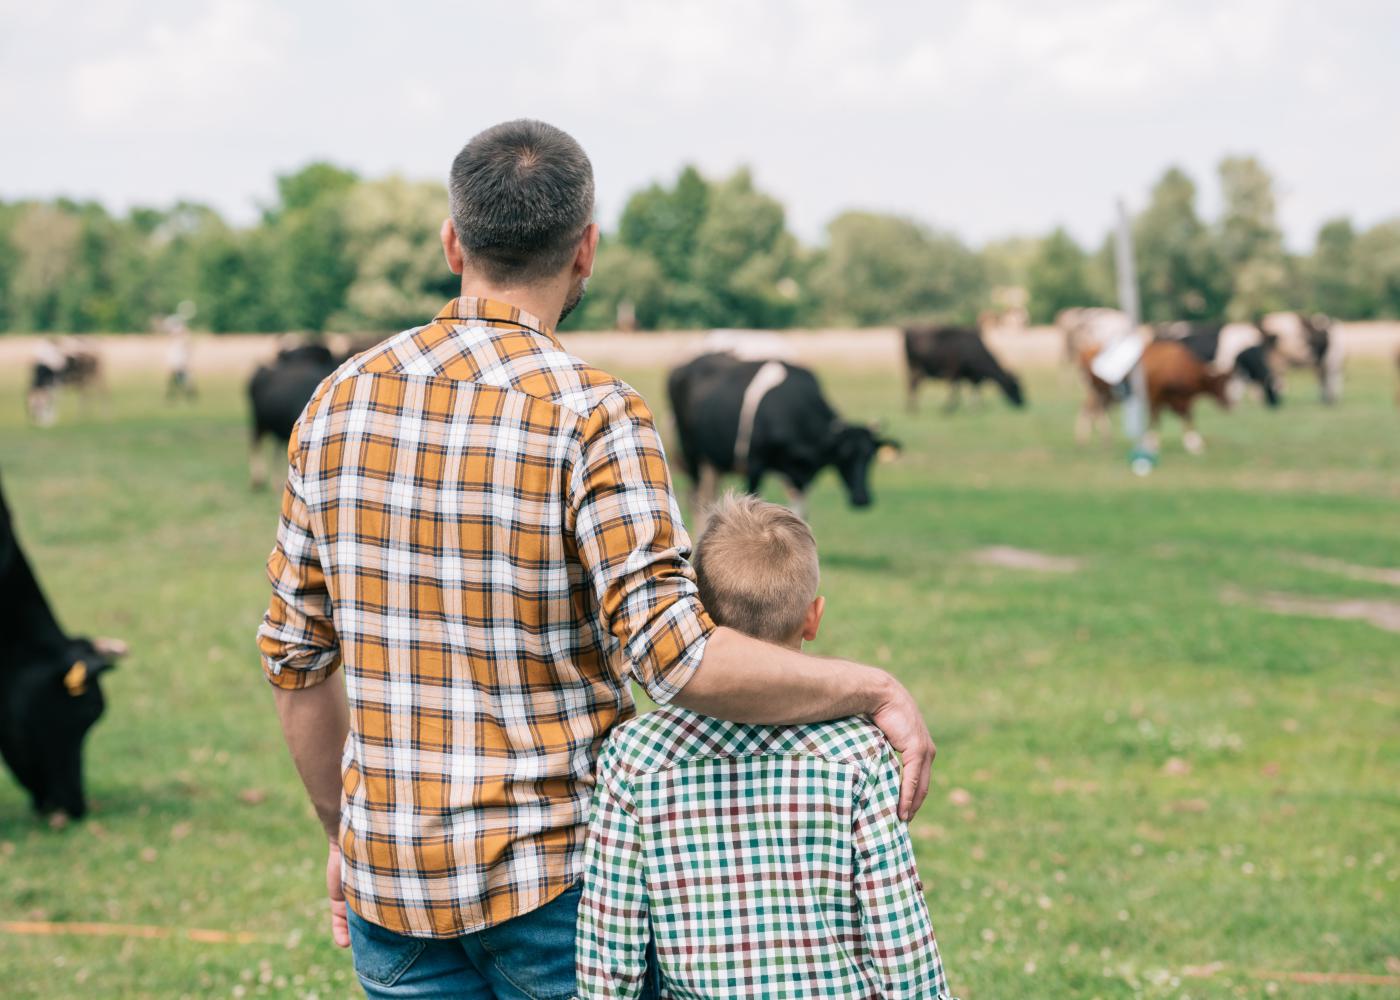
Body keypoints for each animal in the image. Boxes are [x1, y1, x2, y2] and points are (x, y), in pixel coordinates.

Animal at [663, 350, 896, 521]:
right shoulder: (755, 463)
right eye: (844, 455)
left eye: (870, 456)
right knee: (695, 500)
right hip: (691, 452)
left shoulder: (801, 475)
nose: (862, 499)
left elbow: (800, 514)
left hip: (712, 462)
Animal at [1075, 340, 1232, 453]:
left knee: (1094, 412)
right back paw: (1090, 440)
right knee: (1092, 412)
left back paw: (1101, 441)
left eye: (1227, 381)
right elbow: (1155, 418)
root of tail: (1085, 351)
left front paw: (1194, 443)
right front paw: (1152, 443)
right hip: (1097, 393)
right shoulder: (1155, 395)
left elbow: (1186, 417)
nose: (1228, 403)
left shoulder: (1179, 399)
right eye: (1219, 383)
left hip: (1107, 395)